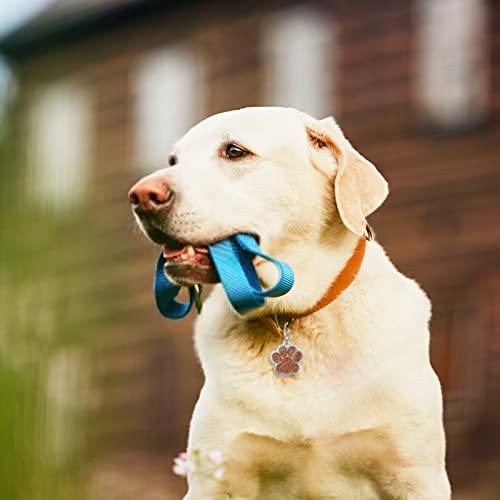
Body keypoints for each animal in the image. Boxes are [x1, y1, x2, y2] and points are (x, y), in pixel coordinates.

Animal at [128, 107, 450, 498]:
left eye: (234, 151)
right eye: (173, 161)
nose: (141, 195)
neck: (292, 317)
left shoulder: (416, 476)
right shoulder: (216, 478)